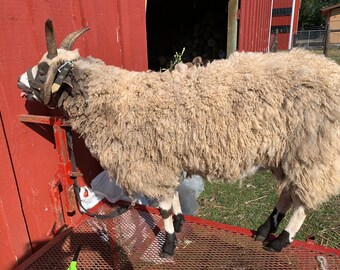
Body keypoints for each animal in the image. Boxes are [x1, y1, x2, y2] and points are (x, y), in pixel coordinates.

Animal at [16, 19, 340, 258]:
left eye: (44, 70)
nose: (19, 81)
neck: (114, 99)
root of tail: (329, 69)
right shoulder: (164, 159)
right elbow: (171, 198)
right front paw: (180, 221)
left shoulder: (151, 164)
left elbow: (162, 207)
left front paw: (169, 244)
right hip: (286, 154)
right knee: (287, 193)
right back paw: (264, 230)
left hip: (313, 151)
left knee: (302, 201)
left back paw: (281, 239)